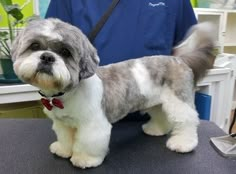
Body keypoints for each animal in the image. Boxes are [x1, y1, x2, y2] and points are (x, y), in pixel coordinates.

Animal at [11, 18, 216, 169]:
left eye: (65, 52)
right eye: (34, 46)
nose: (47, 57)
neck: (65, 94)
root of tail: (180, 59)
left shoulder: (93, 124)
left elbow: (88, 141)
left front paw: (84, 159)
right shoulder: (63, 123)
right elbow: (65, 138)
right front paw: (63, 149)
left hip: (178, 100)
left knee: (187, 120)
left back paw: (183, 143)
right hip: (155, 101)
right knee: (161, 115)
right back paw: (156, 129)